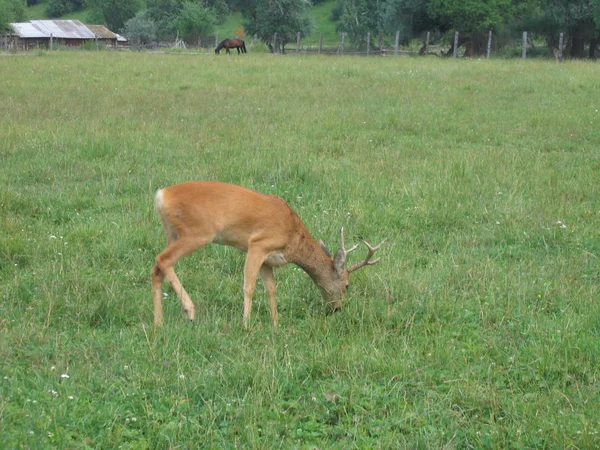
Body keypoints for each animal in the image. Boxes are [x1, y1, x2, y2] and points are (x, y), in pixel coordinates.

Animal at [149, 180, 384, 326]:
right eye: (347, 285)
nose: (337, 309)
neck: (292, 234)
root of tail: (161, 195)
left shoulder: (267, 260)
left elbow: (271, 289)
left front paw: (276, 322)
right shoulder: (257, 244)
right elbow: (249, 286)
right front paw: (245, 323)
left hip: (173, 232)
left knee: (157, 268)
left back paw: (158, 322)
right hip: (197, 232)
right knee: (163, 259)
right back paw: (189, 311)